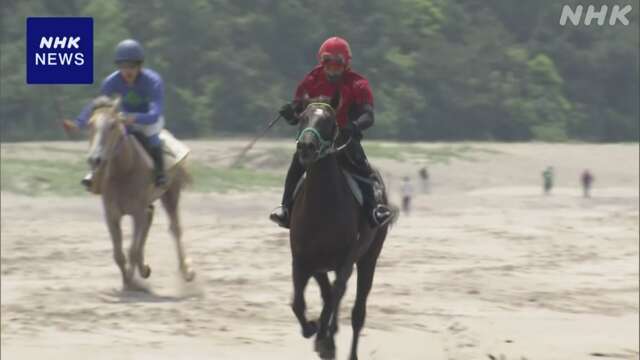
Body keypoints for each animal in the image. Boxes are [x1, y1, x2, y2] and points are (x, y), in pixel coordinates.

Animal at [85, 95, 195, 286]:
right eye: (90, 124)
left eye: (112, 125)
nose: (95, 159)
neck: (124, 171)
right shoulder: (112, 214)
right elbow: (119, 254)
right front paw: (129, 279)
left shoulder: (136, 211)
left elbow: (132, 250)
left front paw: (131, 280)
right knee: (149, 218)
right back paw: (144, 269)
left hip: (171, 193)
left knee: (175, 228)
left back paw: (186, 271)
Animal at [290, 94, 396, 358]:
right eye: (303, 117)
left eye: (328, 121)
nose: (306, 147)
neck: (320, 209)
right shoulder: (303, 260)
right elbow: (299, 302)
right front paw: (312, 329)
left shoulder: (345, 261)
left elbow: (334, 296)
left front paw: (324, 339)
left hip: (369, 257)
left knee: (357, 311)